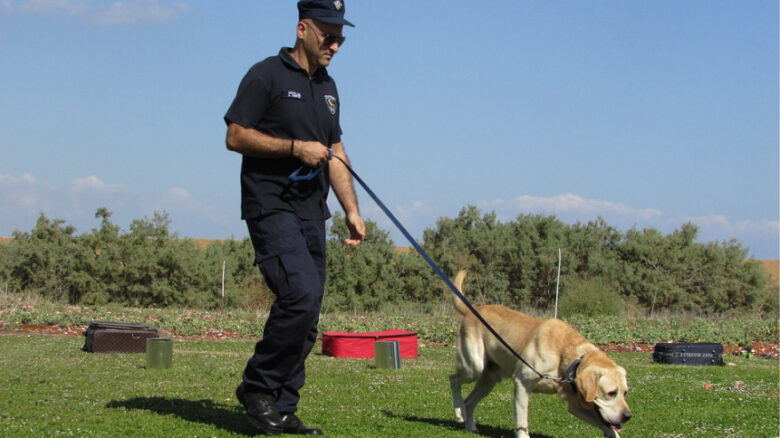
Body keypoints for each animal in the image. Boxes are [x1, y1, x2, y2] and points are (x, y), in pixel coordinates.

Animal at [448, 270, 632, 438]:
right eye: (611, 393)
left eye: (625, 393)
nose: (628, 416)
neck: (566, 356)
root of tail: (473, 309)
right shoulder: (521, 383)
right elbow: (522, 422)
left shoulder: (576, 404)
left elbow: (607, 427)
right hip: (474, 366)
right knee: (454, 379)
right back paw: (458, 410)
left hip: (489, 379)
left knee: (469, 401)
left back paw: (470, 425)